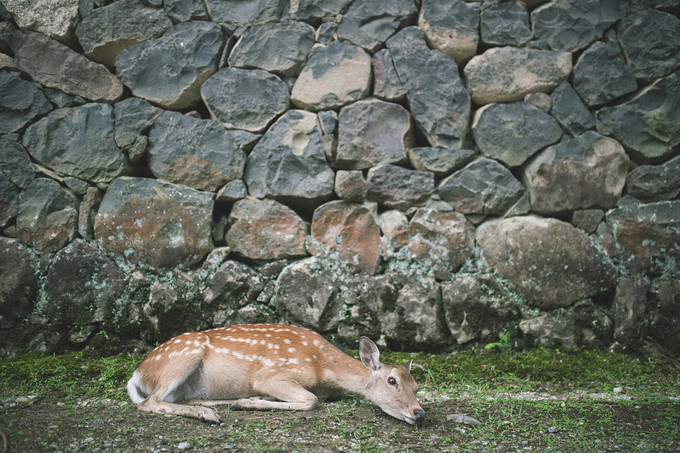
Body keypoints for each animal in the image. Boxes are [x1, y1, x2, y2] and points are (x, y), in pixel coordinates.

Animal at [127, 324, 424, 422]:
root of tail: (138, 373)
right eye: (392, 381)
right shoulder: (272, 375)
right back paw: (208, 414)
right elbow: (310, 400)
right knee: (148, 402)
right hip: (185, 354)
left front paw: (249, 401)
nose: (419, 413)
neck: (321, 368)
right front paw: (250, 402)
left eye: (416, 386)